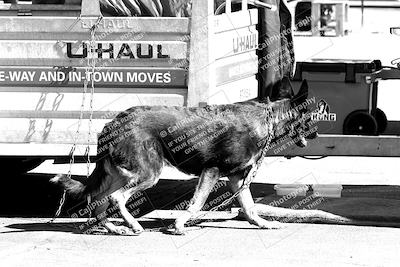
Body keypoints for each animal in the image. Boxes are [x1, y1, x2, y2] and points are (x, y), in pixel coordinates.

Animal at [51, 78, 318, 236]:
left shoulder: (237, 178)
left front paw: (262, 223)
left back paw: (115, 228)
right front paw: (179, 224)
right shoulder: (212, 171)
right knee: (116, 198)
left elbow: (250, 207)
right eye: (311, 116)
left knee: (99, 200)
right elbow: (197, 204)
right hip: (148, 174)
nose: (316, 134)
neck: (269, 119)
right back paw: (133, 224)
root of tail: (114, 122)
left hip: (123, 173)